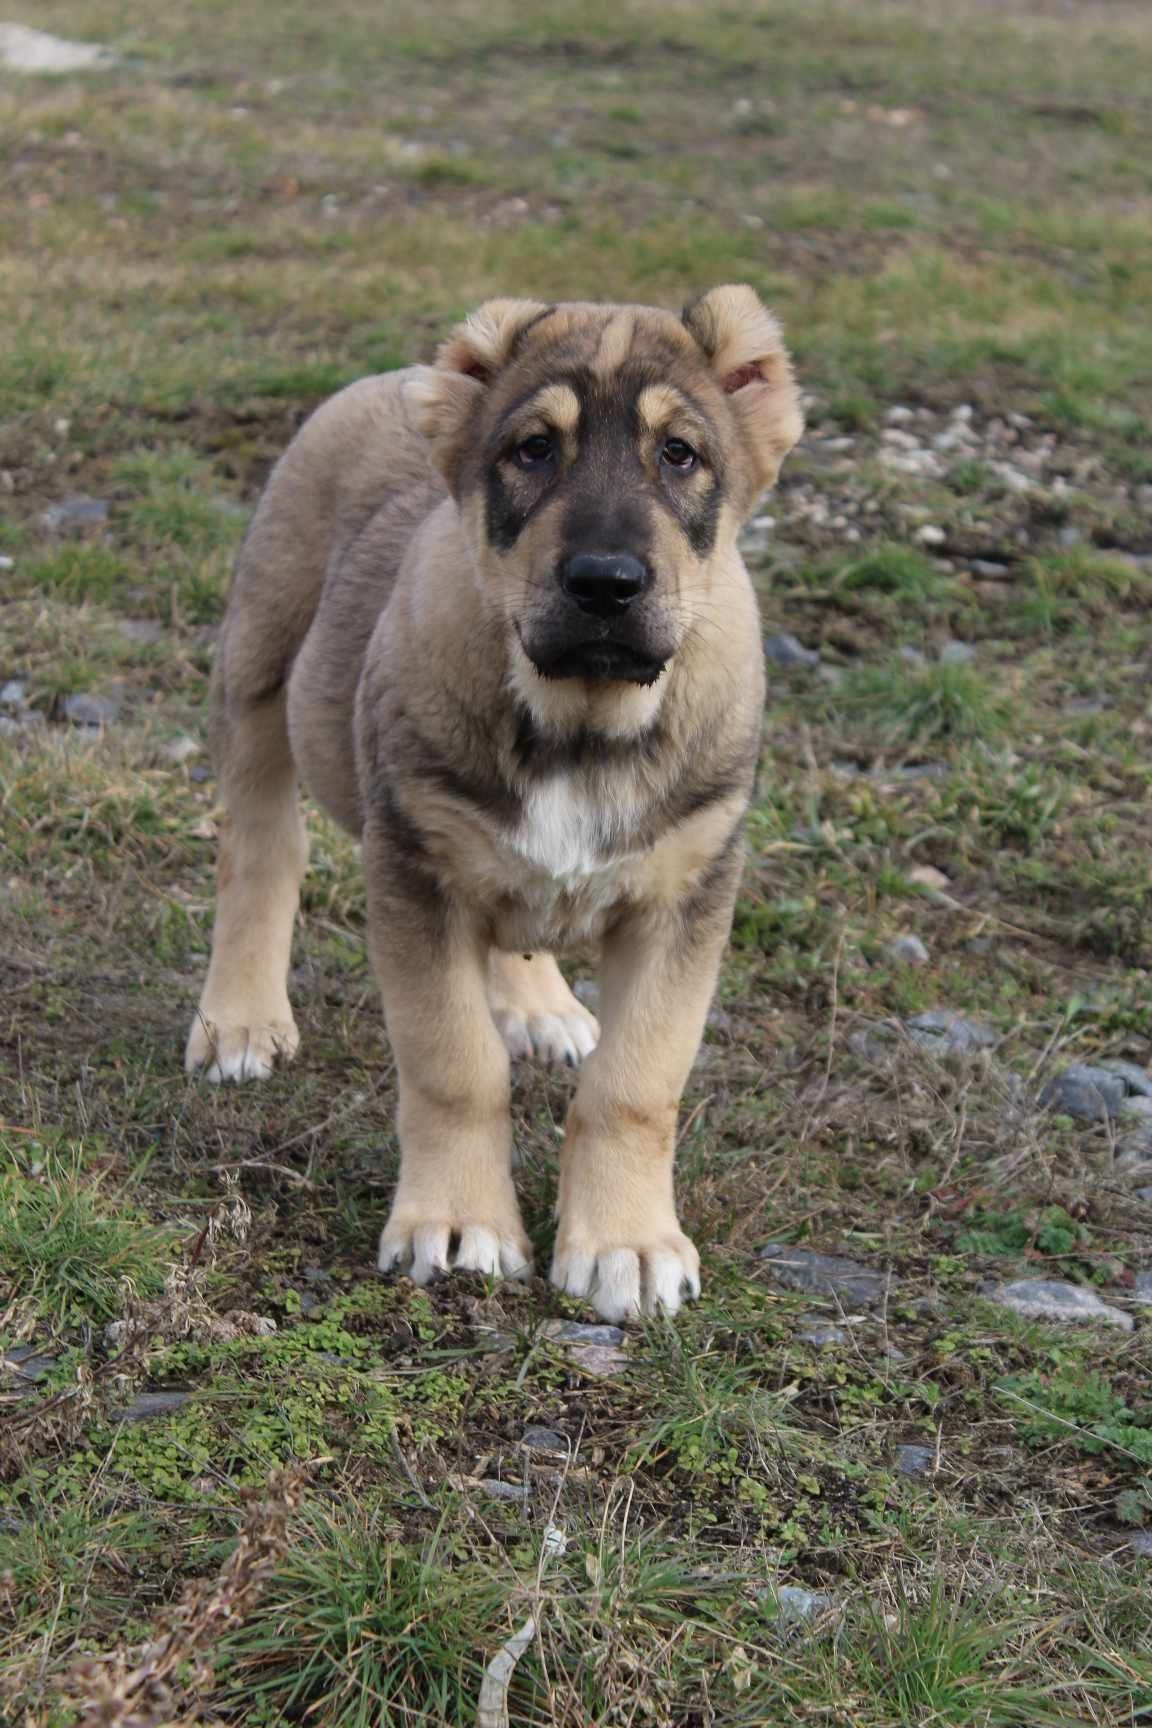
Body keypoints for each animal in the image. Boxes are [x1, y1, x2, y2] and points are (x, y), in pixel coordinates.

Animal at [187, 283, 801, 1313]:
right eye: (533, 449)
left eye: (680, 454)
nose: (605, 583)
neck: (580, 719)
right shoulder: (415, 867)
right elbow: (453, 1065)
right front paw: (458, 1222)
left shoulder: (688, 895)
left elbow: (635, 1084)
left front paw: (626, 1242)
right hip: (261, 665)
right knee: (261, 850)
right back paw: (238, 1017)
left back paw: (538, 1005)